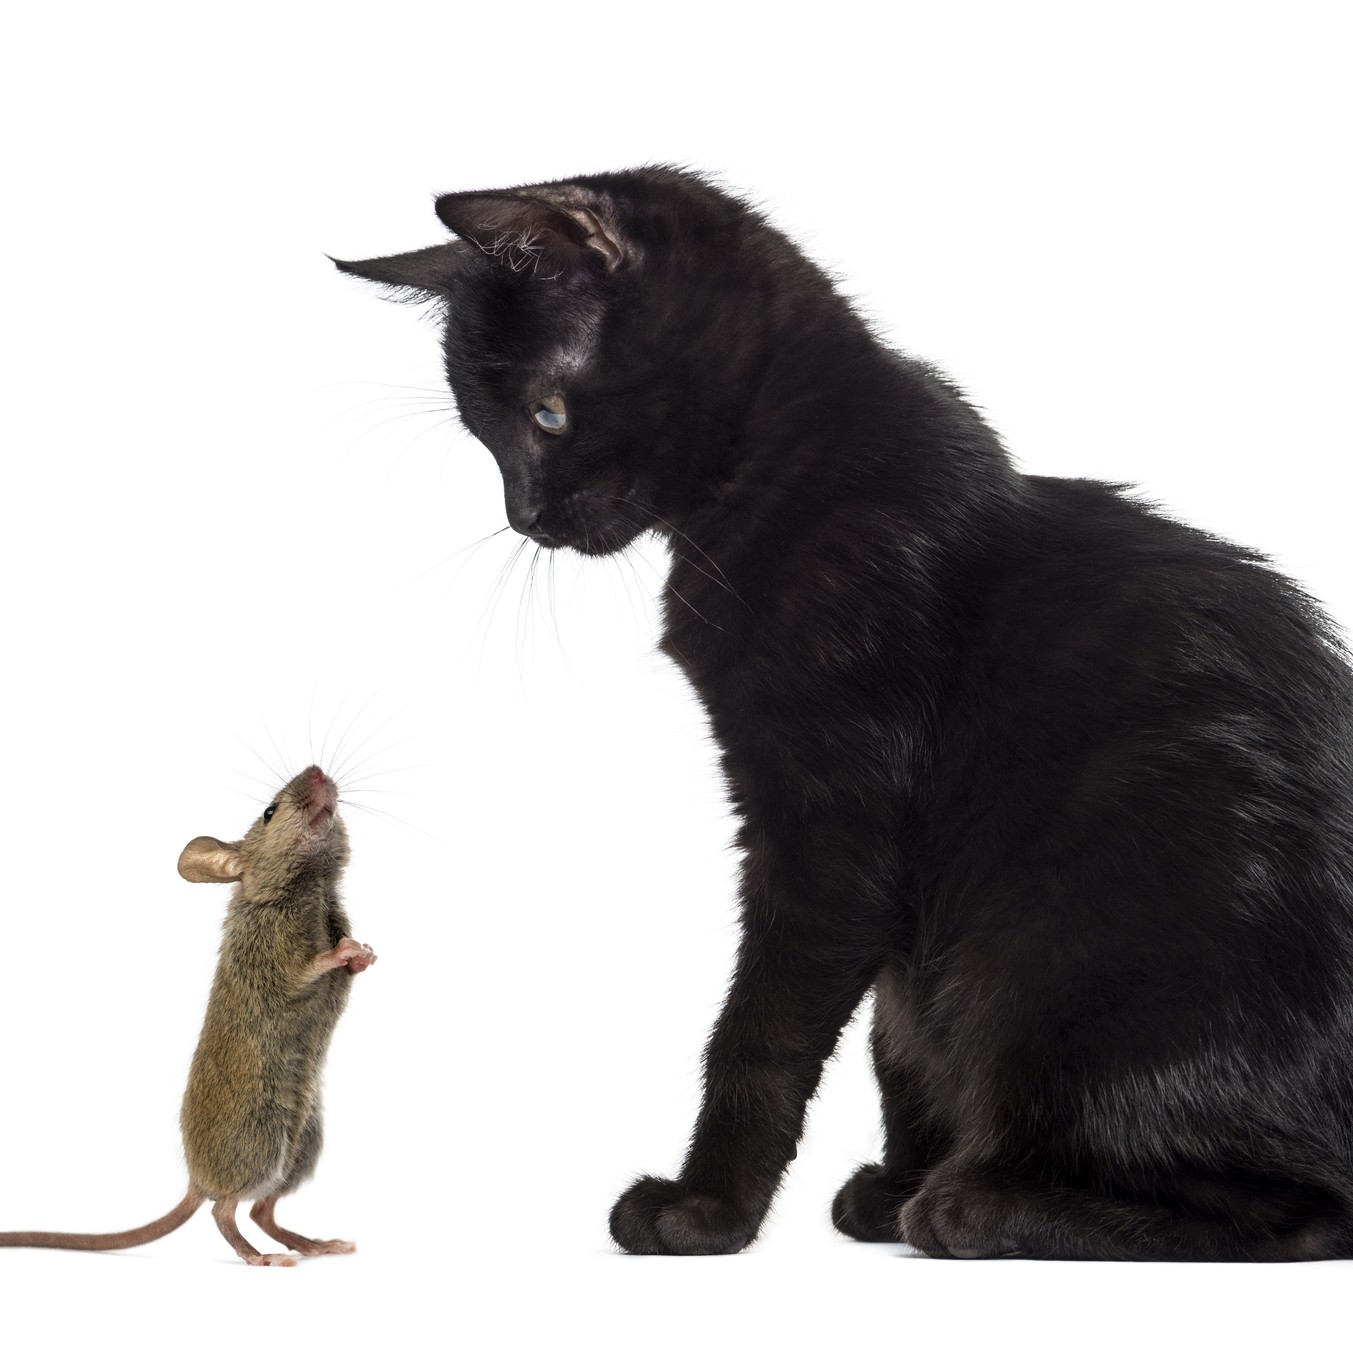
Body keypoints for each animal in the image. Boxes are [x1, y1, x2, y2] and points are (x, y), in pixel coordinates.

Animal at [332, 166, 1353, 1255]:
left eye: (549, 416)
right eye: (485, 436)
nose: (526, 518)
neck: (783, 466)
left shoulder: (832, 822)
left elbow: (762, 1034)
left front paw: (706, 1210)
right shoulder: (889, 909)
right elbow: (896, 1037)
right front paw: (891, 1178)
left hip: (1069, 968)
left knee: (1301, 1212)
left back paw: (980, 1203)